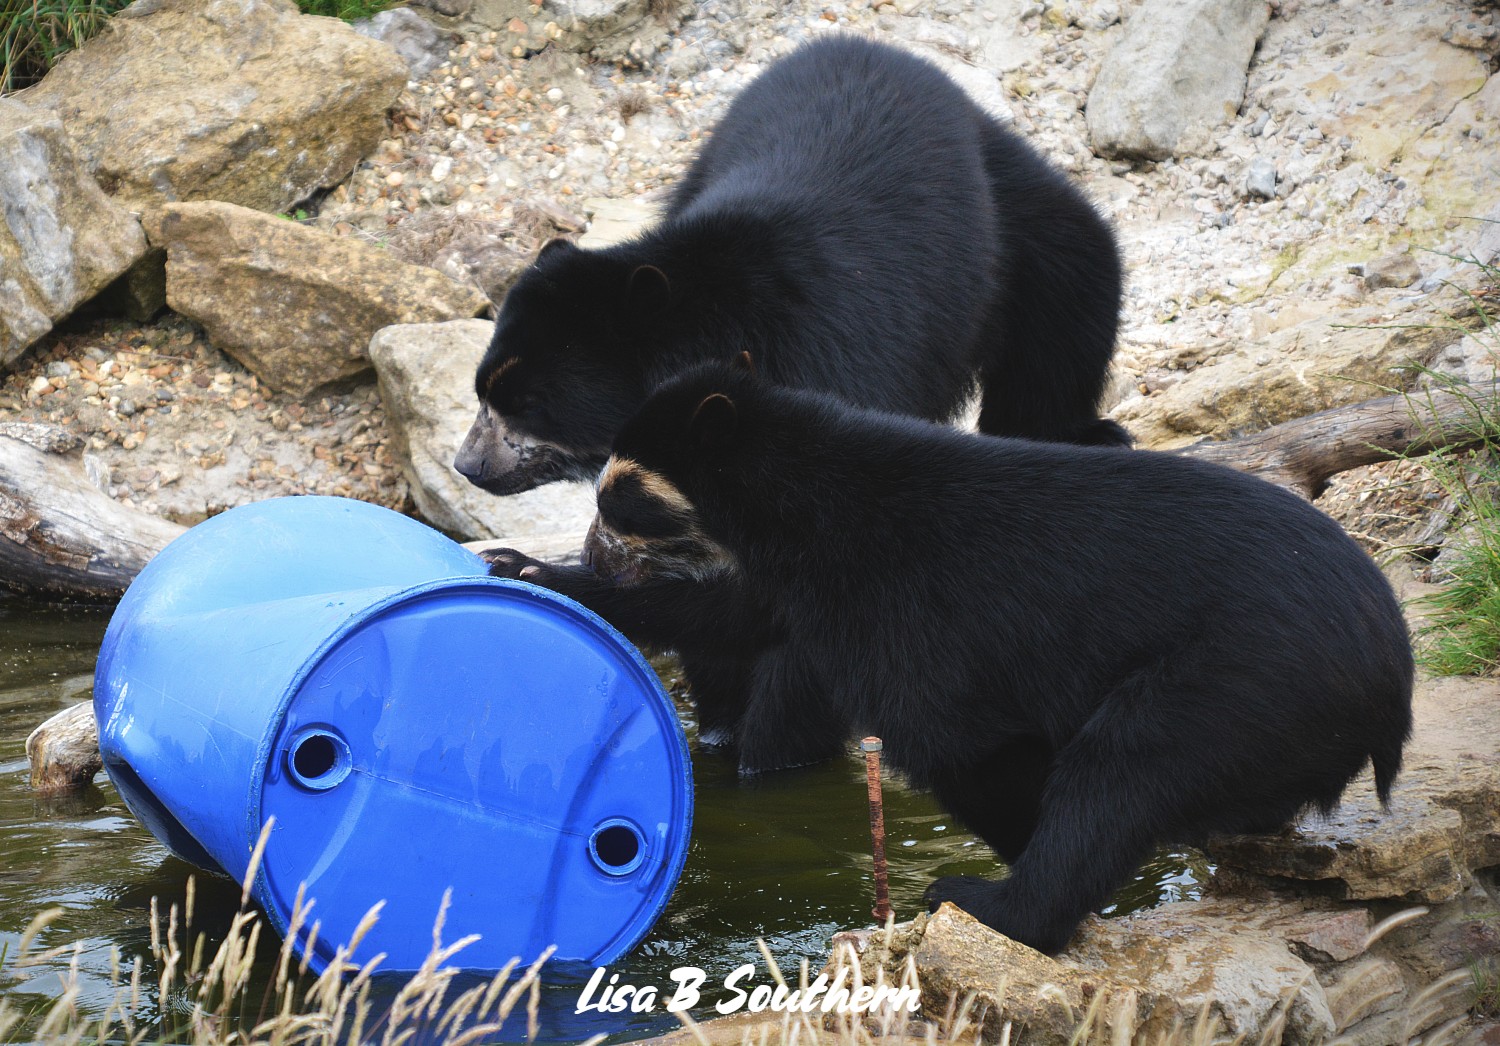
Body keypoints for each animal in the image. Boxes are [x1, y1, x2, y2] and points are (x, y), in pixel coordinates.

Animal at [453, 34, 1128, 499]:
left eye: (529, 403)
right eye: (482, 393)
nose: (468, 465)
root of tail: (865, 44)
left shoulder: (840, 354)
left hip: (1002, 190)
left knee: (1073, 278)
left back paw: (1075, 435)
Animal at [486, 363, 1415, 955]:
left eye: (619, 496)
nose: (594, 551)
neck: (796, 507)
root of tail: (1390, 669)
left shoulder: (907, 607)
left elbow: (954, 738)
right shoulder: (804, 590)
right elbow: (728, 611)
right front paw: (522, 569)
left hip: (1236, 675)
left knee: (1126, 768)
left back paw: (986, 902)